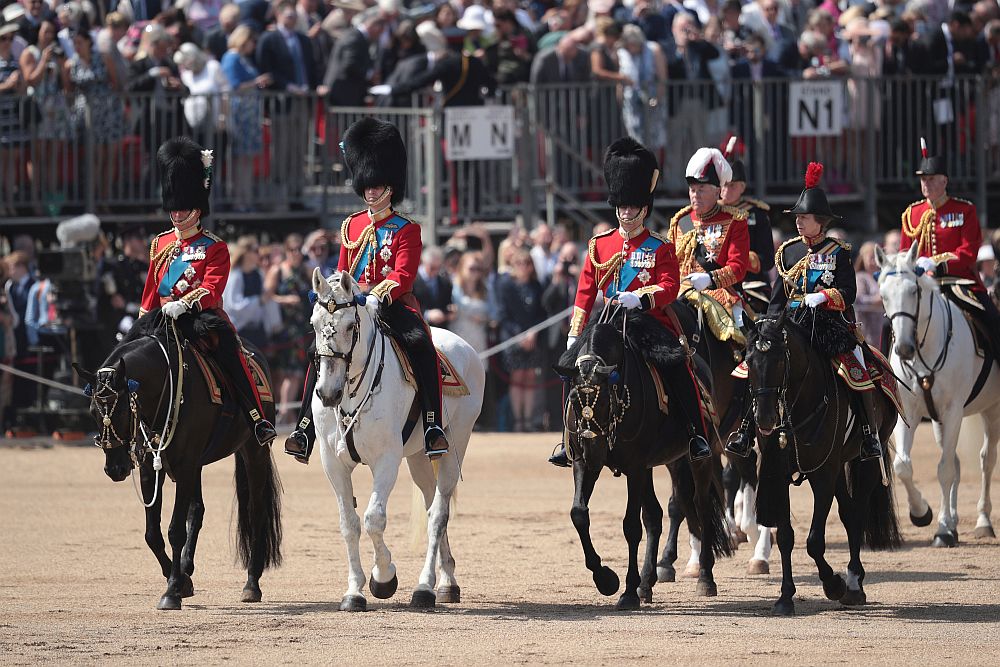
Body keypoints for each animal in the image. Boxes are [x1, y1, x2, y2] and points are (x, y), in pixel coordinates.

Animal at [75, 310, 282, 612]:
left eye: (122, 410)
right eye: (92, 410)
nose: (115, 468)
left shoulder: (184, 464)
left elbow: (174, 530)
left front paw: (172, 590)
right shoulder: (152, 468)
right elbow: (152, 533)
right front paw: (181, 581)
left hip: (253, 452)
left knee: (256, 513)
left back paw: (251, 583)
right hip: (197, 465)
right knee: (198, 510)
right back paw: (187, 566)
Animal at [312, 270, 484, 612]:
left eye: (349, 326)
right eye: (313, 323)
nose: (327, 393)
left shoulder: (386, 460)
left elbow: (373, 519)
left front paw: (383, 578)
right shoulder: (332, 463)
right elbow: (349, 524)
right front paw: (354, 592)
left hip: (453, 447)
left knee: (438, 515)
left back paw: (425, 587)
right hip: (418, 458)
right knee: (432, 506)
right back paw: (446, 581)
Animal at [552, 308, 732, 612]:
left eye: (603, 400)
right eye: (574, 398)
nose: (593, 453)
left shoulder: (634, 467)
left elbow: (631, 526)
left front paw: (626, 592)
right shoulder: (583, 465)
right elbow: (579, 514)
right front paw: (606, 579)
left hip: (698, 459)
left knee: (701, 506)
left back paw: (705, 578)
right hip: (649, 467)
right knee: (655, 516)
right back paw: (646, 583)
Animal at [748, 314, 904, 616]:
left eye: (779, 361)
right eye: (748, 361)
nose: (765, 418)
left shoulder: (823, 475)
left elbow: (814, 541)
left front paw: (834, 584)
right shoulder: (780, 475)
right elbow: (785, 537)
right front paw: (785, 597)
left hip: (865, 460)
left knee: (857, 512)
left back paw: (853, 584)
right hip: (838, 466)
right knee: (848, 512)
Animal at [876, 245, 1000, 548]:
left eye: (913, 290)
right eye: (883, 295)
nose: (904, 349)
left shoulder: (953, 410)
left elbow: (944, 470)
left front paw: (942, 530)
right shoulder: (910, 411)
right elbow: (903, 466)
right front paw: (923, 513)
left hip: (991, 410)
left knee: (986, 460)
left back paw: (983, 520)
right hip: (938, 421)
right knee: (956, 460)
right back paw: (954, 521)